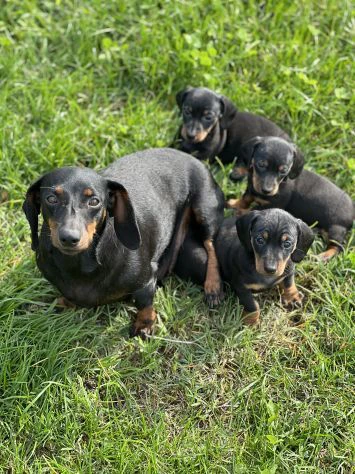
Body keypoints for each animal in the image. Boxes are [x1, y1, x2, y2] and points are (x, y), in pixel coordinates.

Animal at [23, 148, 225, 336]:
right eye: (51, 198)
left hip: (204, 210)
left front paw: (144, 323)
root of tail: (192, 157)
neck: (78, 265)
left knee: (211, 245)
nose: (69, 238)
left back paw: (213, 286)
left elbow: (145, 302)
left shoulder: (146, 280)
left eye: (94, 201)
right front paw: (63, 302)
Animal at [175, 210, 314, 326]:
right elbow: (252, 305)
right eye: (259, 240)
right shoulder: (241, 286)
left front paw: (292, 297)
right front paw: (251, 321)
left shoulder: (288, 270)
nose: (270, 269)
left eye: (287, 243)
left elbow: (288, 282)